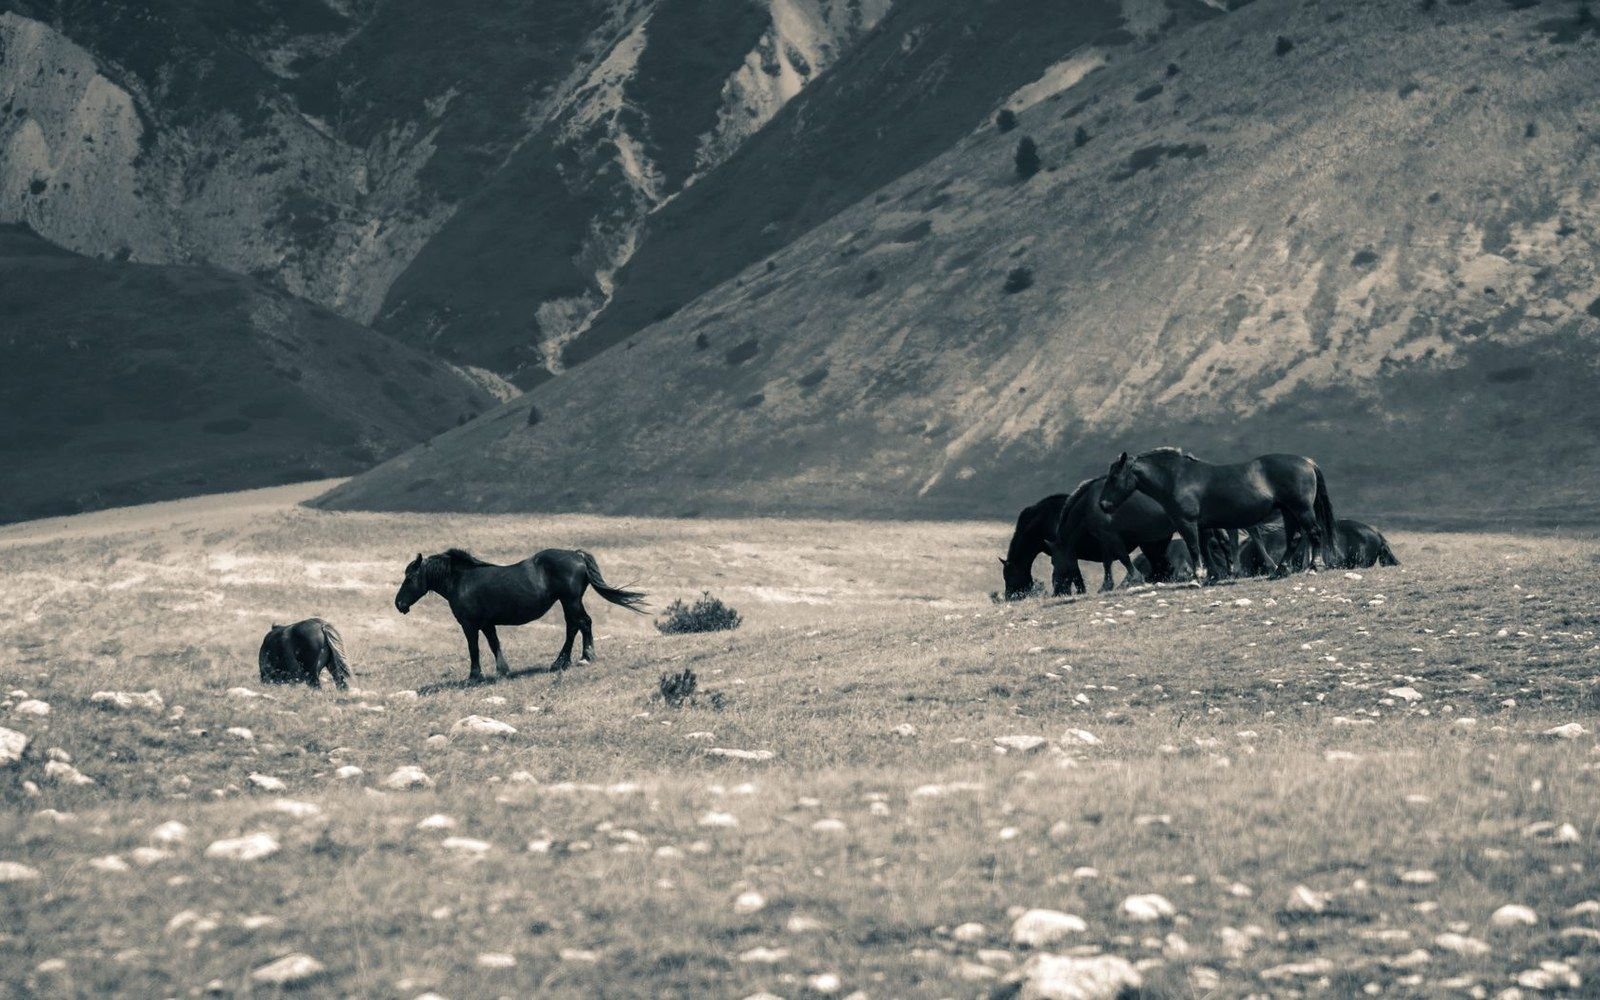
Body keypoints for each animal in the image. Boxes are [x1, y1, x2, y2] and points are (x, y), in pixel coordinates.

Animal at [394, 548, 646, 680]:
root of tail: (577, 555)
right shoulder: (487, 624)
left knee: (581, 624)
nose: (399, 604)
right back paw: (563, 661)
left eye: (410, 577)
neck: (461, 581)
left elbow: (474, 649)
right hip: (568, 602)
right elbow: (494, 644)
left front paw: (474, 676)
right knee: (576, 625)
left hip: (570, 600)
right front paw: (502, 670)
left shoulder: (470, 625)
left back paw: (583, 657)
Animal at [1100, 449, 1335, 579]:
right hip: (1288, 512)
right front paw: (1212, 576)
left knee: (1315, 533)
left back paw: (1314, 566)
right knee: (1295, 538)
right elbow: (1205, 549)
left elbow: (1194, 547)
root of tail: (1307, 462)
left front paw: (1198, 576)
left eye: (1113, 477)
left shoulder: (1186, 523)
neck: (1177, 478)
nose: (1103, 505)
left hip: (1301, 510)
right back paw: (1280, 570)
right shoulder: (1203, 526)